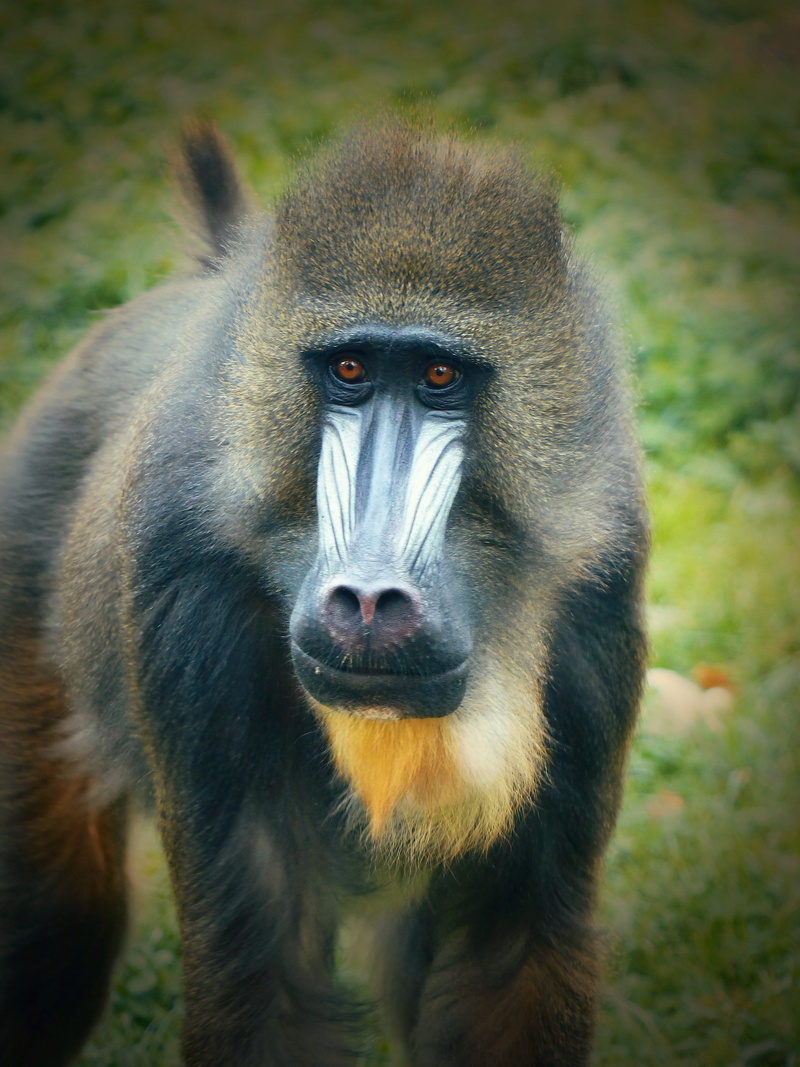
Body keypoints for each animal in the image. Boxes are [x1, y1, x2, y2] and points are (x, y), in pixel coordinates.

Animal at [0, 118, 649, 1066]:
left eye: (441, 378)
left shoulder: (593, 610)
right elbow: (263, 973)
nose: (369, 600)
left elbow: (512, 955)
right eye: (347, 369)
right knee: (55, 931)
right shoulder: (187, 592)